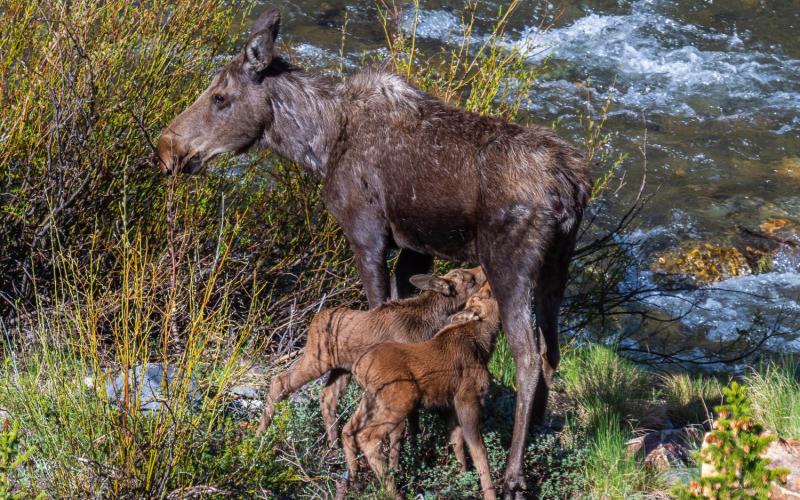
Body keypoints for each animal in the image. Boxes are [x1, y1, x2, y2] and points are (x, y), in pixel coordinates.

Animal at [256, 266, 486, 446]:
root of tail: (314, 320)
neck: (431, 322)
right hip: (316, 359)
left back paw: (333, 445)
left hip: (342, 369)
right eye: (470, 280)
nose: (482, 269)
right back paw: (260, 433)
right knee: (280, 380)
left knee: (328, 397)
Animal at [340, 283, 501, 500]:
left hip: (370, 400)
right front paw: (488, 493)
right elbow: (479, 451)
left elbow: (457, 443)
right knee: (368, 436)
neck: (485, 346)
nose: (490, 283)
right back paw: (392, 491)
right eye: (486, 294)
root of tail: (358, 367)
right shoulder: (467, 398)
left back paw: (353, 478)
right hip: (402, 399)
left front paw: (462, 479)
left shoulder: (449, 405)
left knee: (348, 428)